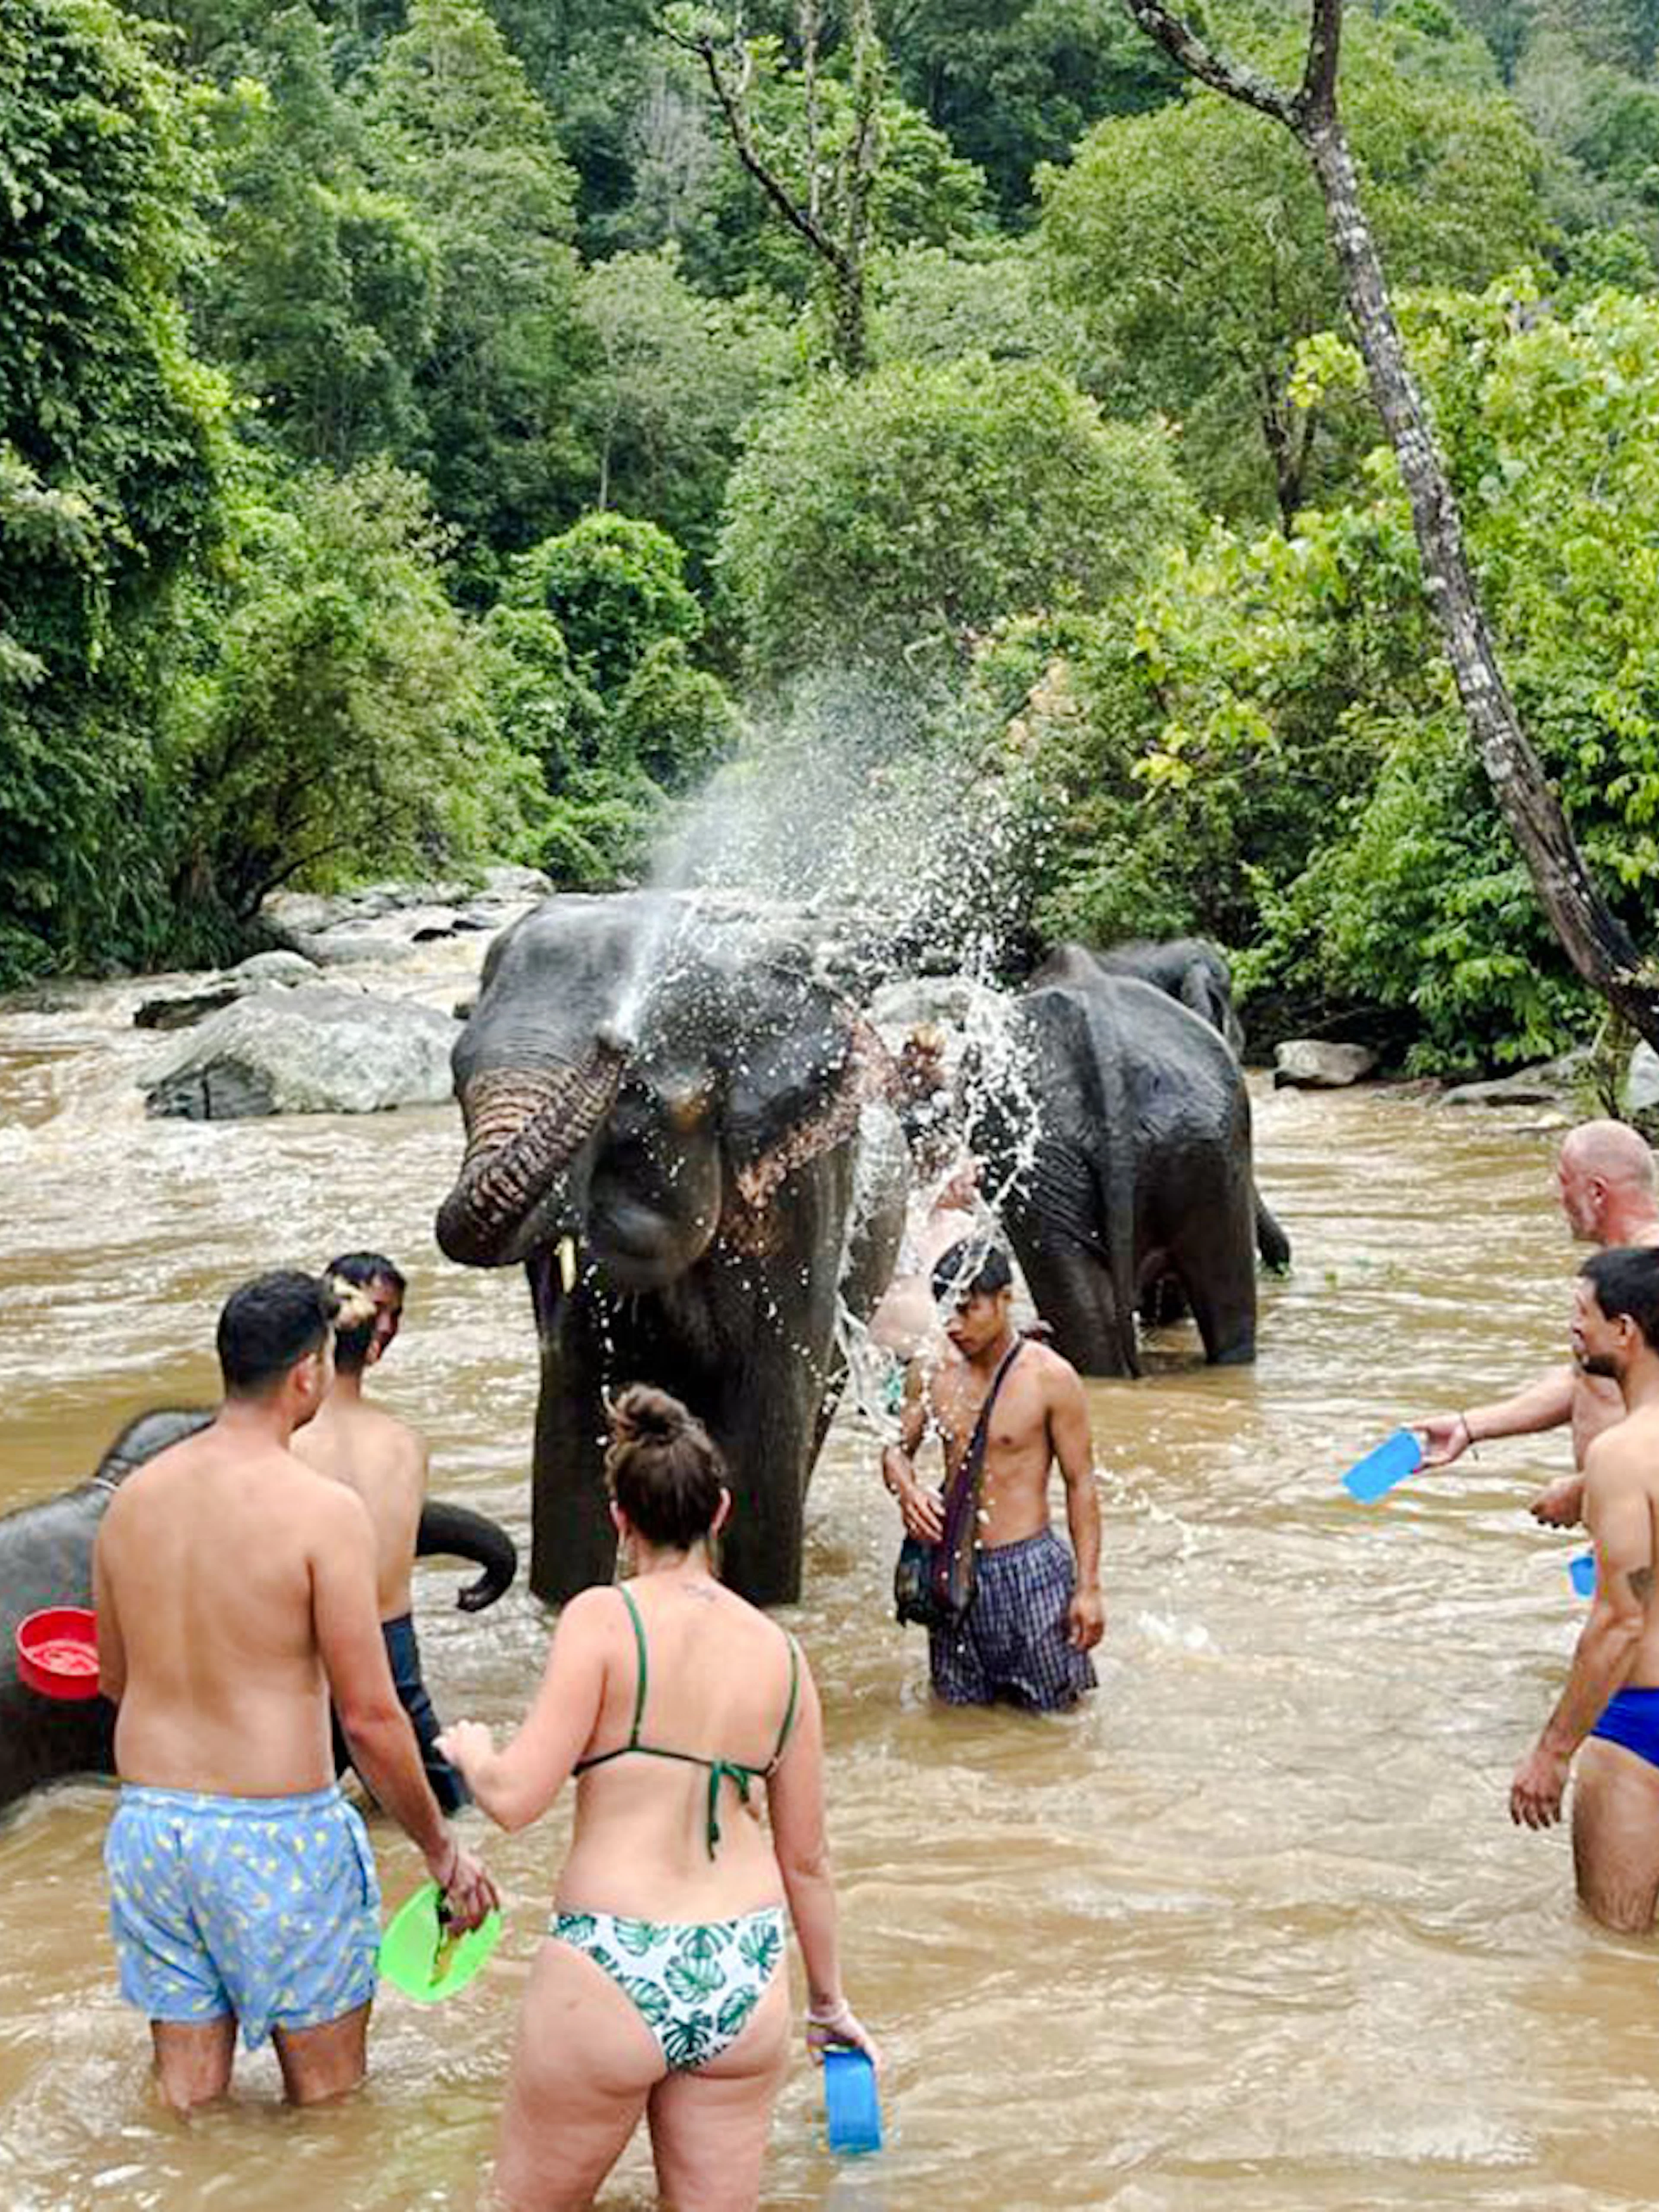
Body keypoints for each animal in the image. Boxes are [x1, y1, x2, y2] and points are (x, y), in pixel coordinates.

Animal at [435, 891, 908, 1609]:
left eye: (635, 1096)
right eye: (459, 1076)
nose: (615, 1037)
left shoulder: (799, 1205)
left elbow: (766, 1449)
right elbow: (571, 1437)